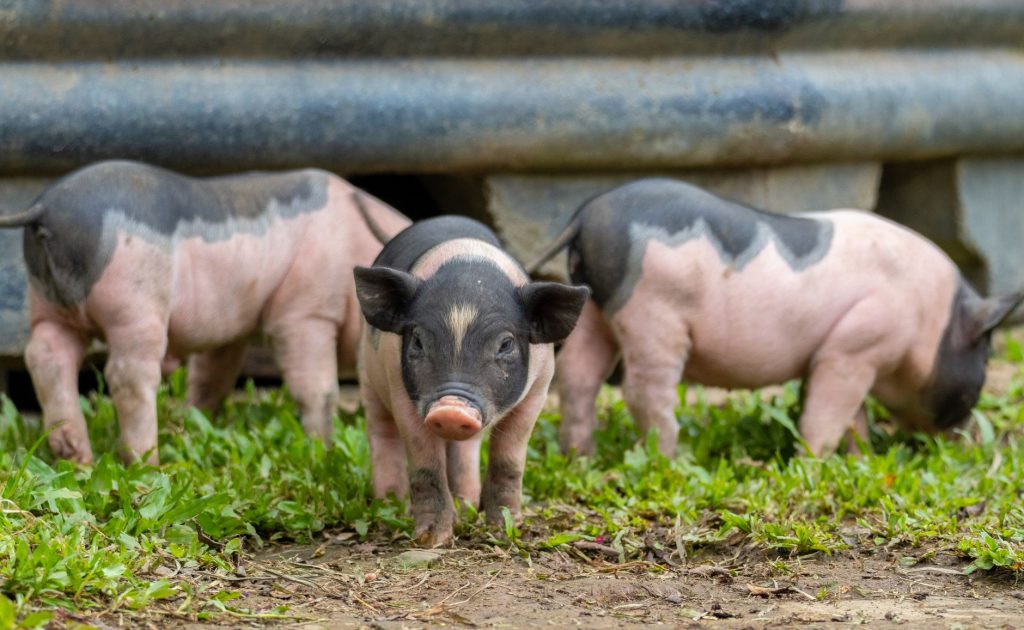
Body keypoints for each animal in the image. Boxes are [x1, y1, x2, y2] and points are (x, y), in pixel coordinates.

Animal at [0, 160, 409, 464]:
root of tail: (47, 209)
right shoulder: (303, 311)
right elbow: (317, 388)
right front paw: (322, 446)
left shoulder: (232, 330)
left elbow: (212, 377)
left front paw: (195, 421)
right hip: (136, 304)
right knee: (127, 373)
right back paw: (147, 463)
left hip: (49, 305)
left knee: (46, 356)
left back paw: (76, 459)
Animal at [354, 216, 588, 546]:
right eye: (418, 341)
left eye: (505, 344)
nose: (451, 409)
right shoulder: (399, 389)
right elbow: (425, 468)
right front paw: (432, 540)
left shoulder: (539, 389)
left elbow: (509, 462)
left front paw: (504, 530)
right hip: (367, 375)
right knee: (382, 433)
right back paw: (391, 503)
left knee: (467, 451)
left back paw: (466, 506)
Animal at [526, 178, 1024, 458]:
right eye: (985, 356)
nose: (969, 439)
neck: (931, 320)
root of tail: (587, 217)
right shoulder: (854, 347)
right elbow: (827, 413)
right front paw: (813, 463)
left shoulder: (851, 354)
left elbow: (854, 417)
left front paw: (862, 459)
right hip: (650, 312)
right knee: (643, 391)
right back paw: (674, 460)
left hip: (595, 310)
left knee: (578, 376)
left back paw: (581, 458)